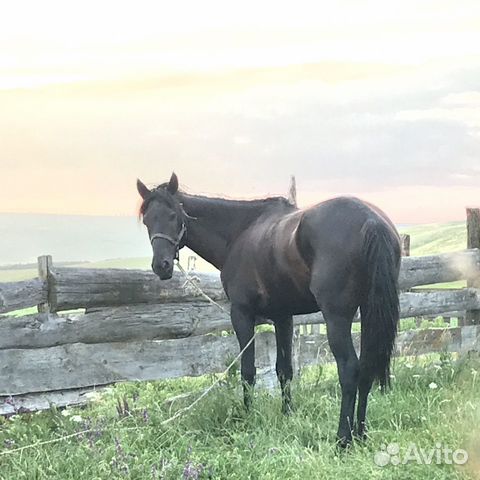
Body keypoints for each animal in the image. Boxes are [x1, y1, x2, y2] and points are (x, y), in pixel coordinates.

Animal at [137, 172, 400, 446]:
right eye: (147, 220)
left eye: (173, 215)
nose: (161, 266)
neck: (240, 232)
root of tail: (371, 220)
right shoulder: (283, 317)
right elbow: (284, 370)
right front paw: (287, 414)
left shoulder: (241, 313)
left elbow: (248, 371)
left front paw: (247, 417)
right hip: (369, 310)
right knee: (367, 368)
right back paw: (360, 433)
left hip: (338, 318)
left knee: (349, 369)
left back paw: (343, 440)